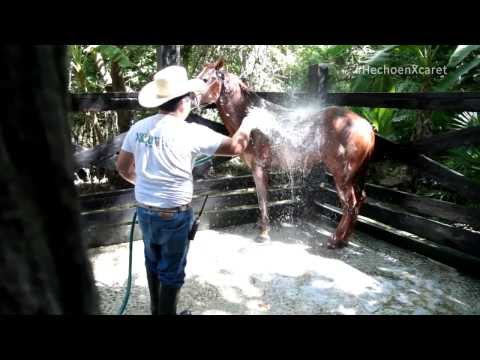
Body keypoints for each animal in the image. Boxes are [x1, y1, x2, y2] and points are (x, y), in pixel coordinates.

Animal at [195, 59, 376, 250]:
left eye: (206, 79)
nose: (189, 97)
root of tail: (367, 127)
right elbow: (262, 199)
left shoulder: (259, 168)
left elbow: (262, 201)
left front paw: (264, 234)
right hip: (355, 176)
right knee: (360, 201)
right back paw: (344, 240)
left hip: (342, 176)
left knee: (350, 204)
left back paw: (334, 241)